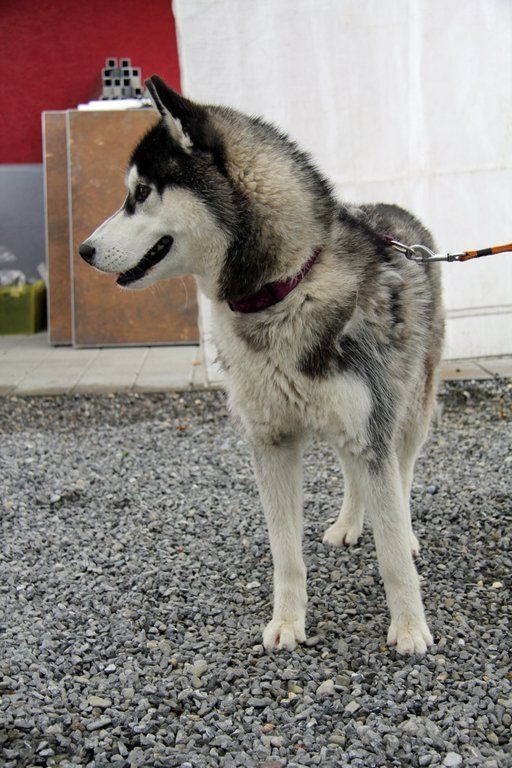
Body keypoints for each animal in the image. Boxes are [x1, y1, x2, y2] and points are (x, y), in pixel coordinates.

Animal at [80, 75, 445, 655]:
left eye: (141, 193)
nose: (84, 250)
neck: (282, 290)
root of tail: (396, 211)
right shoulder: (270, 440)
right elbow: (285, 554)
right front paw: (288, 622)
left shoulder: (370, 429)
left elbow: (389, 553)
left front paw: (409, 627)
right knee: (352, 475)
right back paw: (349, 523)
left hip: (407, 411)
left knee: (402, 472)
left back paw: (405, 531)